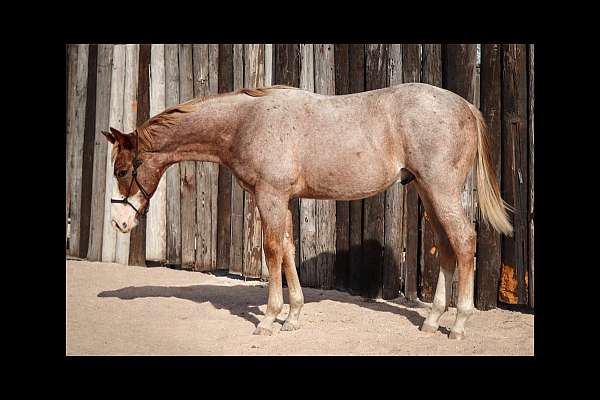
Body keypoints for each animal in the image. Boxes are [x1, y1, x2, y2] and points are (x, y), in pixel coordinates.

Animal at [102, 83, 510, 340]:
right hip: (428, 191)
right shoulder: (281, 200)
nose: (119, 222)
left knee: (464, 242)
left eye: (121, 171)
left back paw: (459, 324)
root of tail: (465, 106)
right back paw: (432, 319)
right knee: (447, 247)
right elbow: (287, 249)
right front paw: (293, 316)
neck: (246, 122)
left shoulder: (269, 197)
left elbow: (271, 252)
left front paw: (269, 319)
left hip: (442, 191)